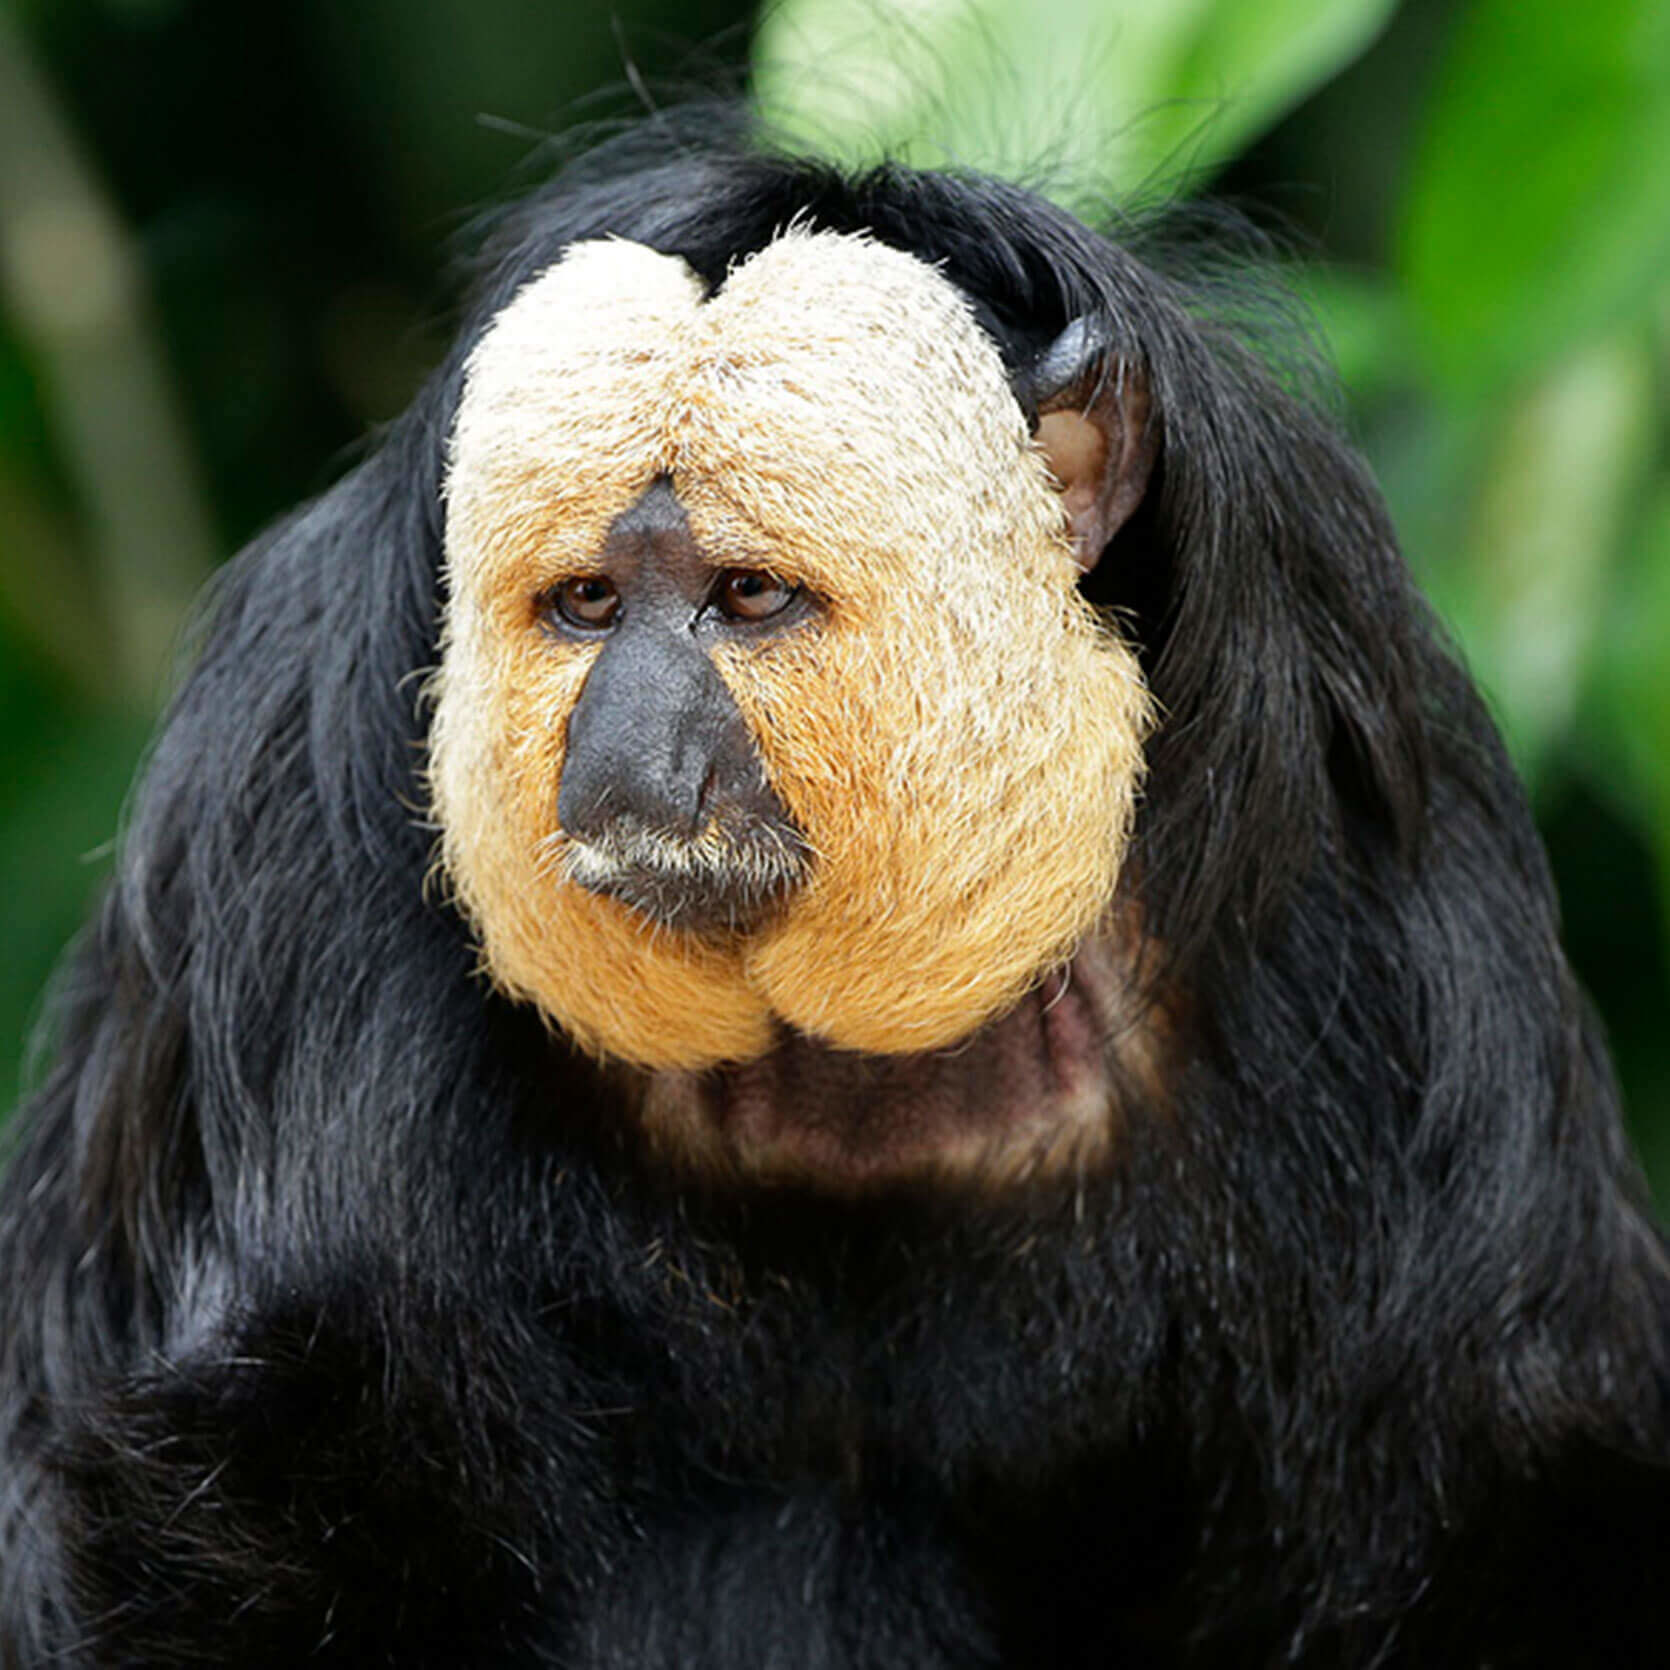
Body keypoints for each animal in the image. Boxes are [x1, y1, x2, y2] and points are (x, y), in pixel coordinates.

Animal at [1, 113, 1667, 1668]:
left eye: (743, 598)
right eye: (587, 604)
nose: (623, 751)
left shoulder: (1381, 888)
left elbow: (1482, 1485)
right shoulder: (285, 828)